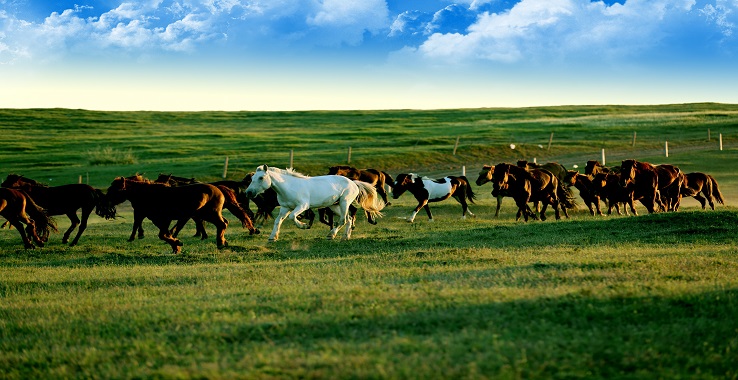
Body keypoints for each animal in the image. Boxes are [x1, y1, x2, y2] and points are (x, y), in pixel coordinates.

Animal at [102, 177, 231, 254]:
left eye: (113, 190)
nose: (105, 201)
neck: (146, 194)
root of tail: (218, 189)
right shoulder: (157, 220)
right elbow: (166, 234)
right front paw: (176, 245)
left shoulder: (164, 219)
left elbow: (163, 234)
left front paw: (177, 244)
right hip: (206, 214)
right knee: (224, 223)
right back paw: (223, 242)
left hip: (210, 214)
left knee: (222, 224)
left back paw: (220, 243)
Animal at [243, 165, 382, 242]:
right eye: (252, 178)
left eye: (261, 178)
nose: (248, 193)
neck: (289, 186)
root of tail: (353, 182)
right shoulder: (285, 208)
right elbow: (278, 221)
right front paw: (272, 237)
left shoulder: (302, 206)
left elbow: (292, 217)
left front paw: (304, 226)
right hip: (334, 205)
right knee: (348, 219)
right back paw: (345, 237)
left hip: (344, 202)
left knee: (343, 220)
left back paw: (331, 235)